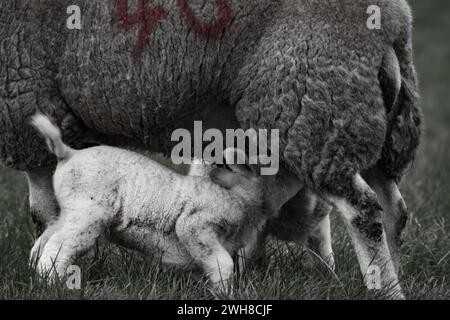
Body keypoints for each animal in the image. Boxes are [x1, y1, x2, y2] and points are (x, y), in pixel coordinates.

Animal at [29, 114, 300, 288]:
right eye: (274, 165)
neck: (237, 195)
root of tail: (68, 153)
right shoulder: (195, 224)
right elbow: (222, 262)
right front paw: (225, 292)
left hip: (71, 210)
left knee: (46, 237)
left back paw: (35, 272)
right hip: (89, 210)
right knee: (59, 245)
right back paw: (52, 282)